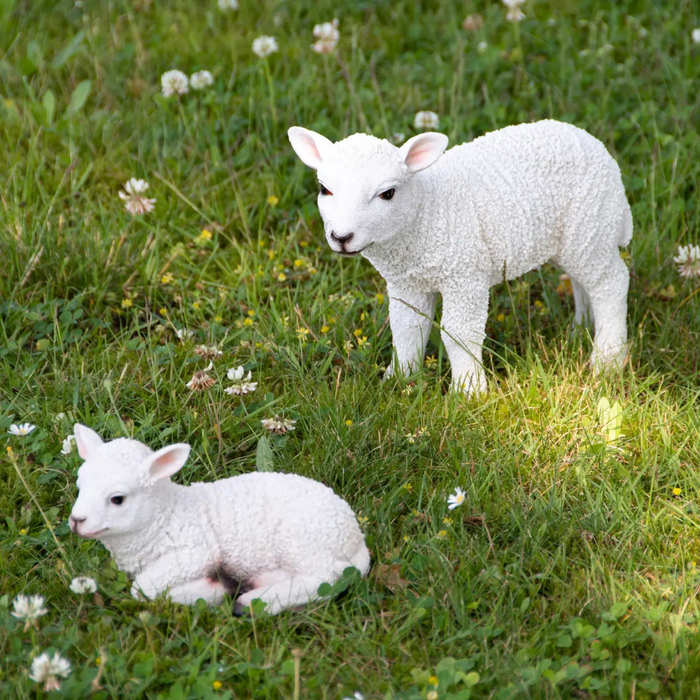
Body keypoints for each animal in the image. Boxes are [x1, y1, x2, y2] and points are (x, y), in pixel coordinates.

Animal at [68, 424, 370, 614]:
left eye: (117, 499)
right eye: (80, 485)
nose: (76, 520)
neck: (162, 517)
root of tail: (355, 537)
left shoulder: (195, 552)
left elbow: (141, 589)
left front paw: (210, 591)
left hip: (303, 538)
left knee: (327, 578)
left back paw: (253, 601)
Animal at [288, 120, 633, 395]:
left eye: (387, 193)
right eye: (324, 189)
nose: (341, 238)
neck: (424, 212)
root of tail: (600, 150)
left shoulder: (464, 276)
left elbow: (458, 332)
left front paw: (468, 392)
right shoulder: (407, 283)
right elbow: (406, 329)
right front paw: (398, 379)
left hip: (591, 220)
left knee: (611, 282)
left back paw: (608, 358)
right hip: (578, 237)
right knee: (582, 281)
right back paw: (580, 331)